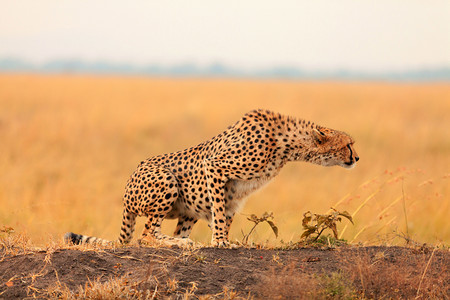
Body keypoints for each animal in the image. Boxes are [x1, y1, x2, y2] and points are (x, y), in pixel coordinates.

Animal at [65, 109, 358, 247]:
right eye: (348, 144)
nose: (356, 158)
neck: (287, 144)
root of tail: (126, 187)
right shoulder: (215, 167)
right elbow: (218, 212)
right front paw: (220, 242)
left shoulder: (235, 192)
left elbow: (225, 215)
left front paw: (228, 240)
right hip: (167, 181)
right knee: (146, 236)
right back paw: (181, 244)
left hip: (188, 209)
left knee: (163, 231)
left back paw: (182, 240)